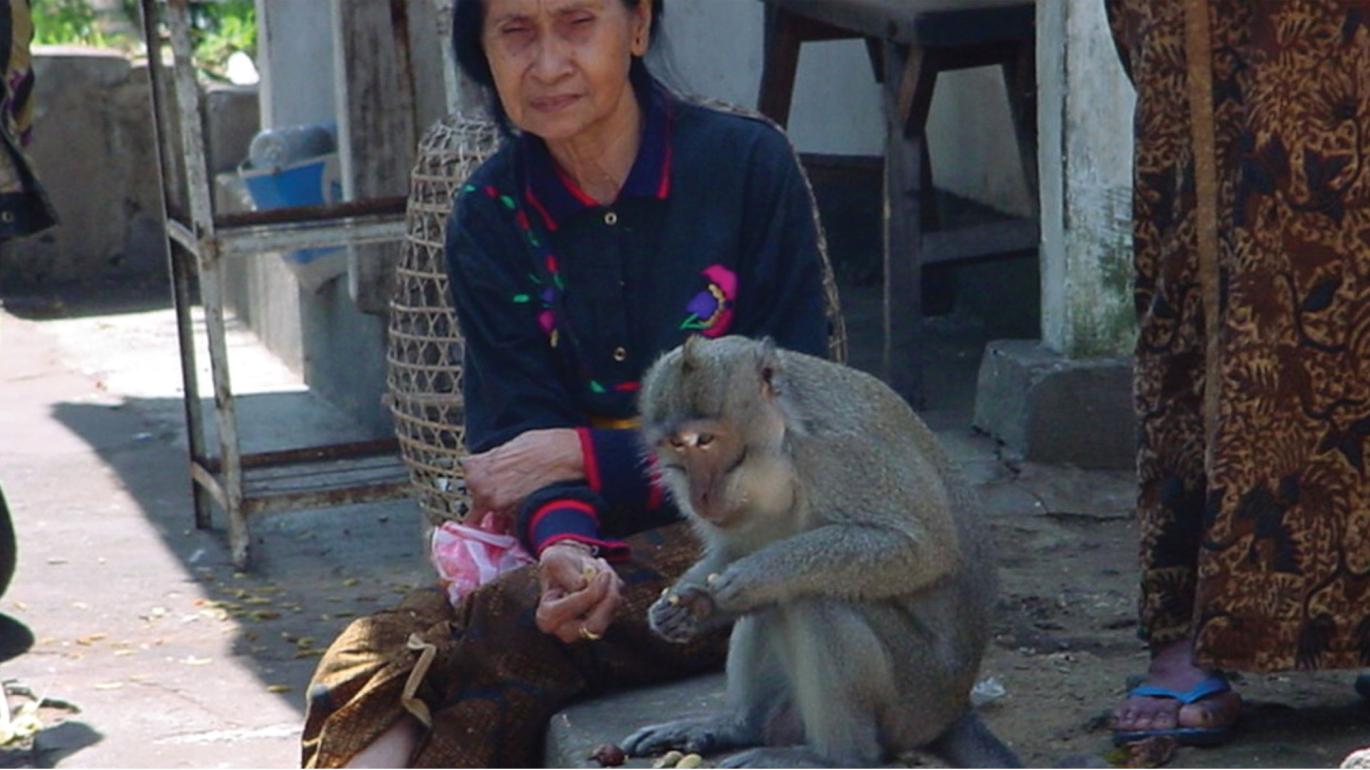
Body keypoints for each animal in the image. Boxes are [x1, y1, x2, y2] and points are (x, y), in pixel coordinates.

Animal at [620, 335, 1019, 768]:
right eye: (677, 445)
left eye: (705, 440)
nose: (699, 495)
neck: (784, 441)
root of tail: (954, 708)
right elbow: (736, 548)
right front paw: (688, 606)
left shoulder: (837, 453)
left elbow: (921, 549)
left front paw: (757, 573)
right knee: (777, 605)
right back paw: (740, 726)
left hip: (914, 698)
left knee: (814, 599)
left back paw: (835, 757)